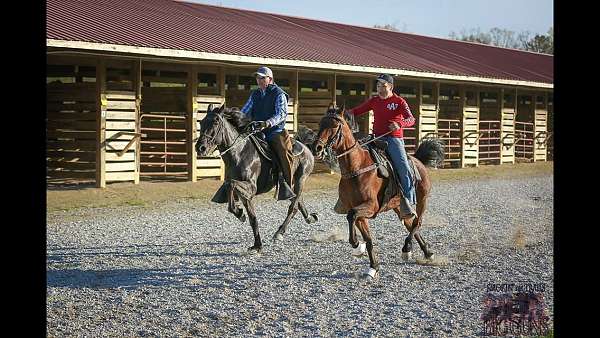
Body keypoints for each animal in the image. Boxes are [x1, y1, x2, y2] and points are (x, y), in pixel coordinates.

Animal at [196, 104, 318, 252]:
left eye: (215, 122)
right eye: (202, 122)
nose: (200, 148)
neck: (239, 153)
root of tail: (305, 147)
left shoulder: (251, 187)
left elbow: (231, 184)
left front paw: (239, 213)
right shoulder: (245, 194)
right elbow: (252, 217)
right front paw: (256, 243)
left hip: (300, 179)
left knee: (293, 207)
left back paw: (279, 233)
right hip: (292, 186)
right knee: (298, 202)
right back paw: (310, 218)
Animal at [312, 105, 442, 278]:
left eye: (334, 125)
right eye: (320, 124)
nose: (317, 148)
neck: (357, 167)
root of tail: (417, 160)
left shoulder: (371, 206)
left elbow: (351, 215)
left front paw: (356, 244)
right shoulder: (360, 212)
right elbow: (367, 238)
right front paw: (372, 266)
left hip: (422, 199)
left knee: (417, 222)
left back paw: (407, 248)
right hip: (399, 206)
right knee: (411, 225)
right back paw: (426, 252)